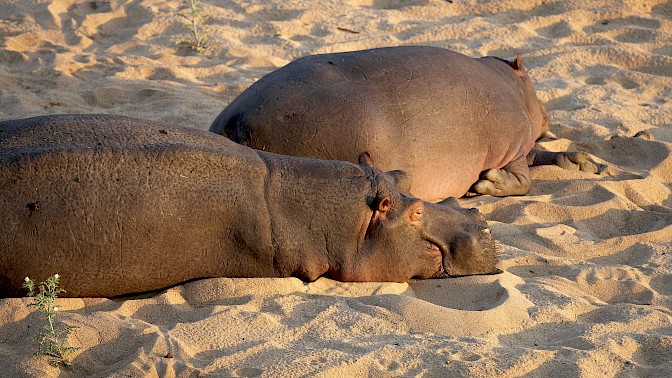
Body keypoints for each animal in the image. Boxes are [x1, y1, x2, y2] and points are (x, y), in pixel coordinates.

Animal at [211, 45, 600, 201]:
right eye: (533, 80)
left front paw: (586, 163)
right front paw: (487, 183)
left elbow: (547, 157)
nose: (550, 116)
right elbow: (523, 179)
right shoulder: (514, 142)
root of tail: (234, 122)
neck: (511, 82)